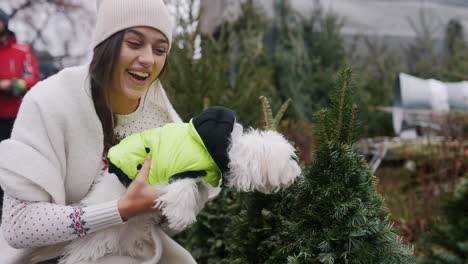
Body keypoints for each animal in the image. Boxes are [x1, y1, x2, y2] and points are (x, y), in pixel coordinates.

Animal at [58, 106, 302, 264]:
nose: (299, 172)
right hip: (103, 232)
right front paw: (181, 217)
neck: (228, 148)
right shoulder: (181, 171)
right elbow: (183, 191)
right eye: (291, 159)